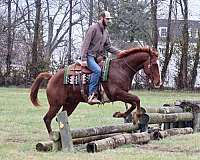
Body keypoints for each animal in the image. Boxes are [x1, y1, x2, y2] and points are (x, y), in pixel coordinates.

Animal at [30, 47, 162, 137]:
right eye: (154, 64)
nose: (158, 82)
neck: (121, 68)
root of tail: (52, 76)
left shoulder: (123, 94)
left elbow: (134, 103)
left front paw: (120, 114)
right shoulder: (117, 93)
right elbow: (137, 100)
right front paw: (135, 117)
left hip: (70, 104)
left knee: (59, 118)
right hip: (55, 105)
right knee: (47, 119)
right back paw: (52, 136)